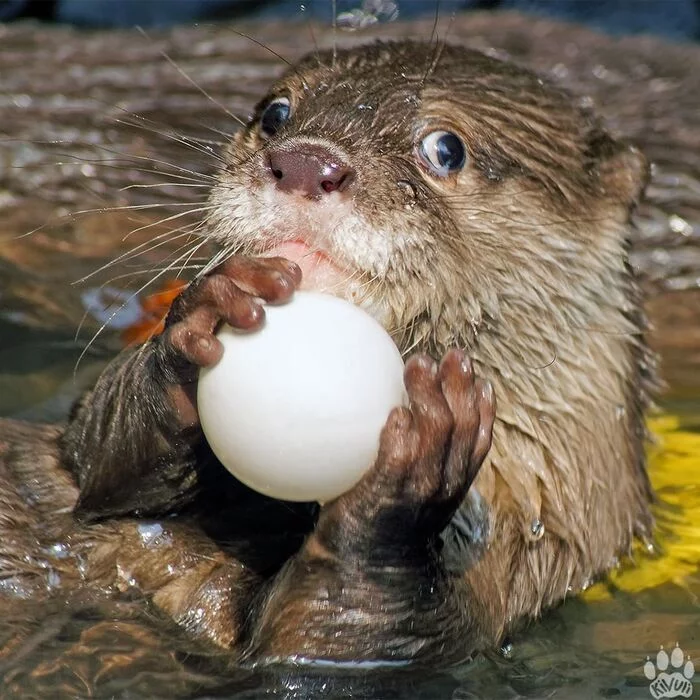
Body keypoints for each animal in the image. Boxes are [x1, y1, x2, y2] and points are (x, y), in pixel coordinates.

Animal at [0, 39, 656, 668]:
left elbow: (341, 635)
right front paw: (203, 317)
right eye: (275, 113)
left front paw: (412, 465)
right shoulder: (85, 460)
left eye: (446, 149)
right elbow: (91, 454)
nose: (306, 162)